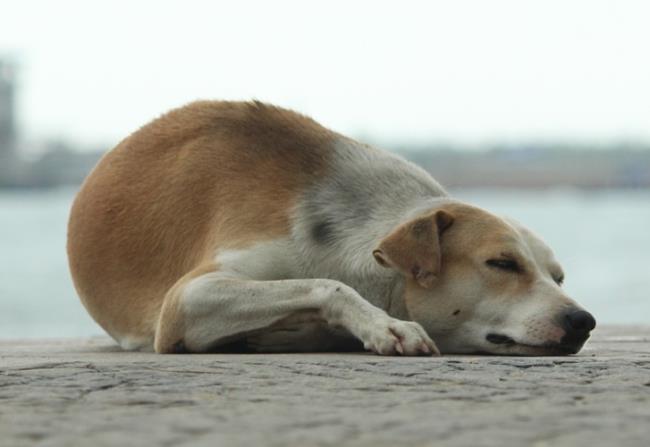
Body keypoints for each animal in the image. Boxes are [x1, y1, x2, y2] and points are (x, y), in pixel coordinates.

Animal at [66, 100, 592, 356]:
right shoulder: (185, 302)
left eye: (558, 276)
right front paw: (383, 326)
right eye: (502, 263)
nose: (582, 321)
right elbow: (327, 285)